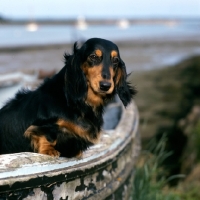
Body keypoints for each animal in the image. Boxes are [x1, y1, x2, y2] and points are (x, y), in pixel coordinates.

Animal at [0, 38, 136, 158]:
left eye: (115, 60)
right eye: (93, 57)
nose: (105, 86)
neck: (77, 103)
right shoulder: (45, 126)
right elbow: (46, 135)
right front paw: (48, 150)